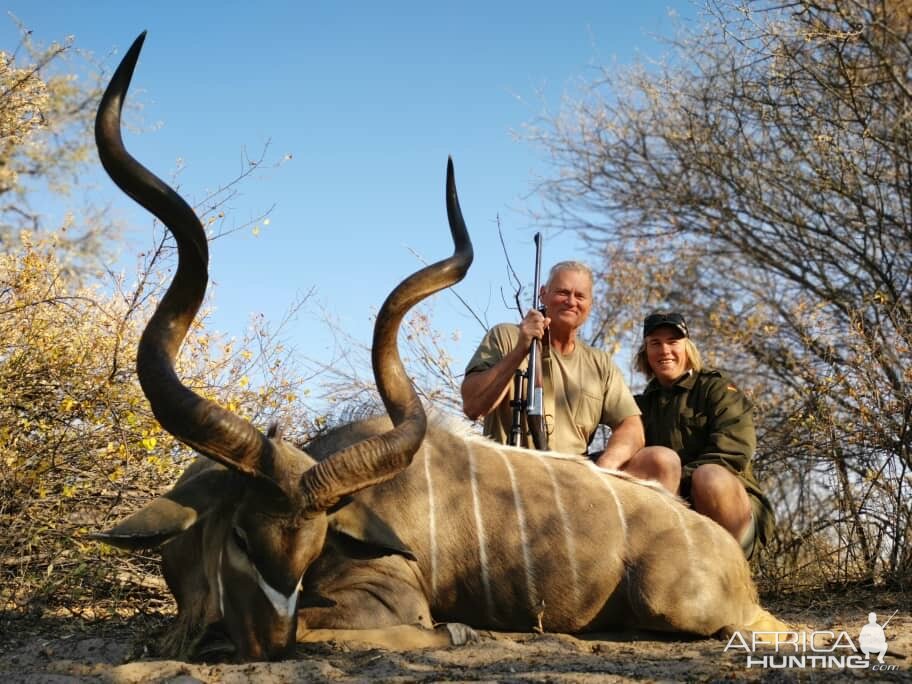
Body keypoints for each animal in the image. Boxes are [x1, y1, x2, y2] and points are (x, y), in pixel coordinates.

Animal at [96, 33, 788, 664]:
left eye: (315, 544)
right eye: (241, 534)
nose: (267, 645)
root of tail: (731, 562)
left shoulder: (388, 596)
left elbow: (353, 626)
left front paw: (461, 631)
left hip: (675, 605)